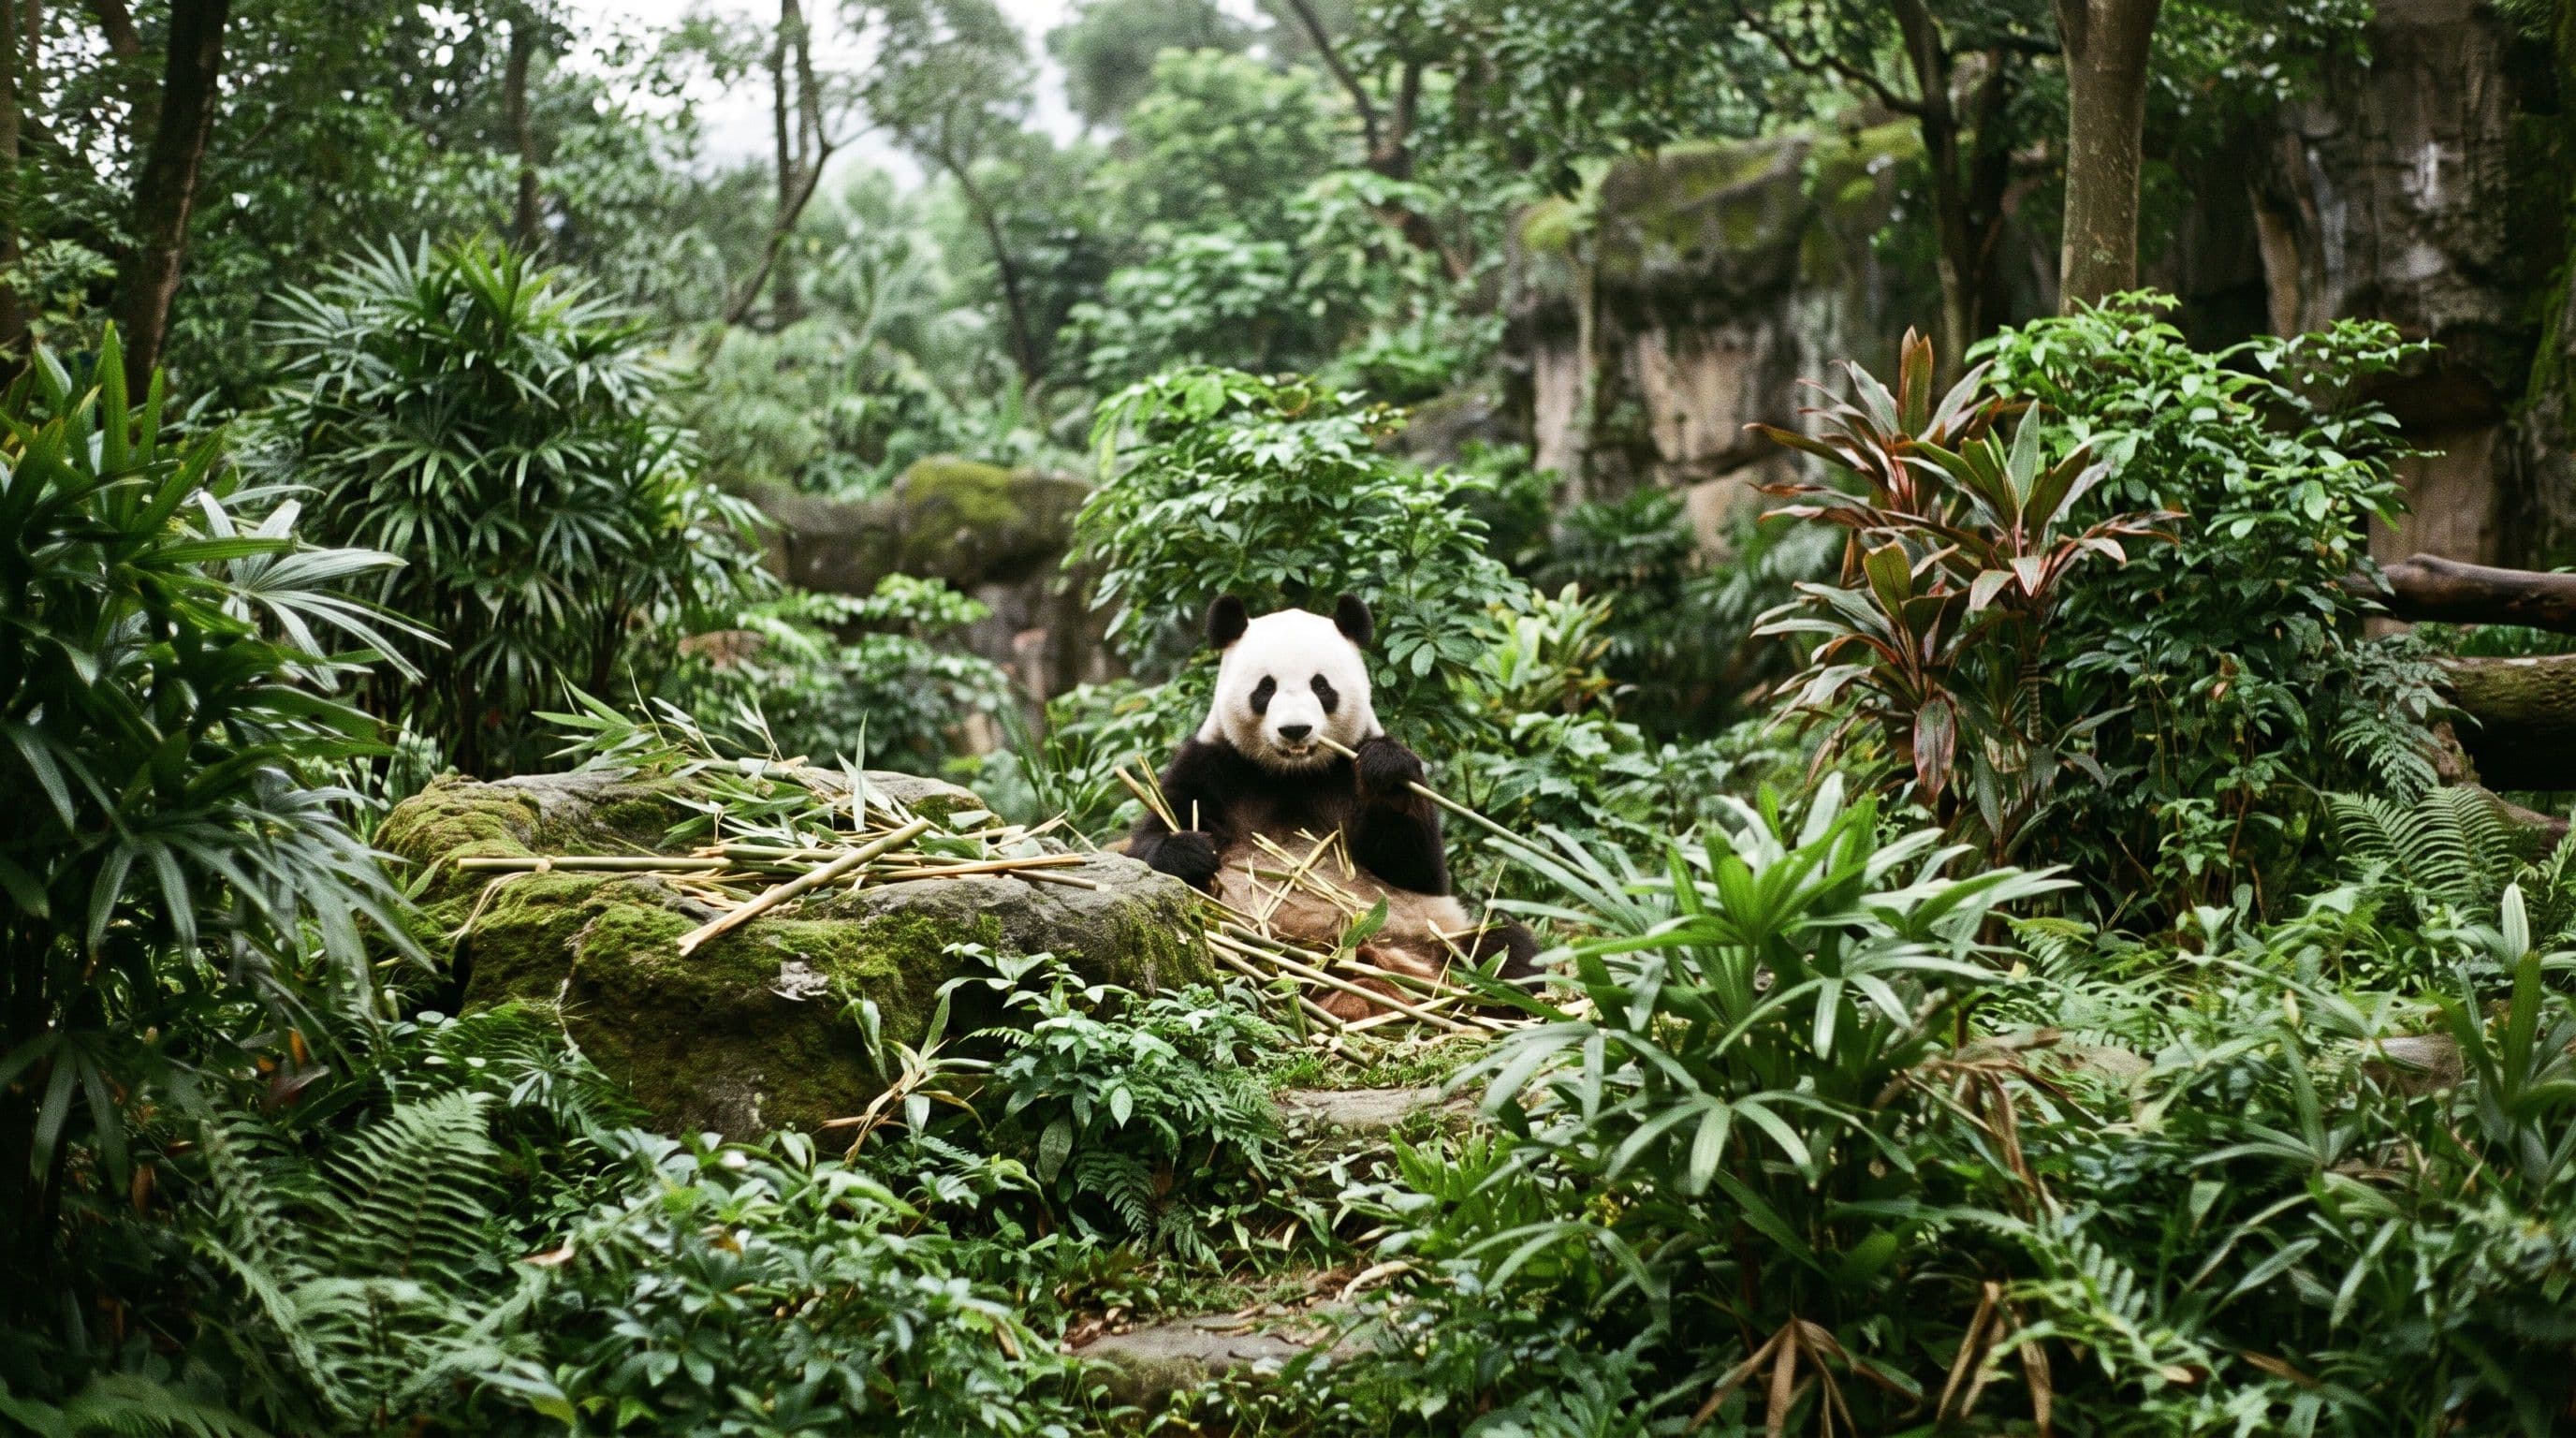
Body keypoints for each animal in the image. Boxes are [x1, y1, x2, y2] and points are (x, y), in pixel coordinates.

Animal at [1127, 594, 1541, 1018]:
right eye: (1265, 688)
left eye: (1321, 686)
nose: (1295, 730)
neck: (1292, 776)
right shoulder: (1212, 765)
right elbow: (1149, 843)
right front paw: (1192, 850)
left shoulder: (1349, 765)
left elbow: (1417, 868)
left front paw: (1385, 771)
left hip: (1436, 937)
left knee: (1504, 947)